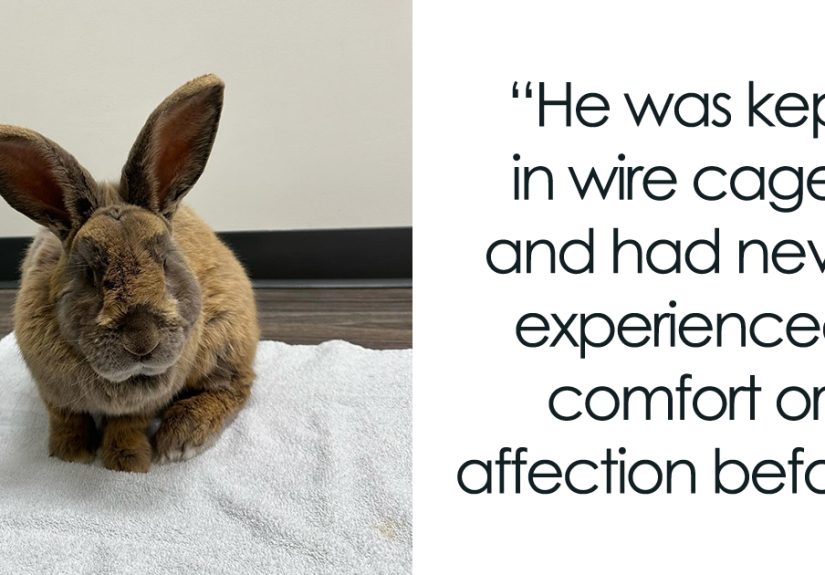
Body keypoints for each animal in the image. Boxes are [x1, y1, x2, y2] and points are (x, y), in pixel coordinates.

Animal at [0, 74, 259, 473]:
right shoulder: (52, 393)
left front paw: (126, 463)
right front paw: (70, 455)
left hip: (224, 337)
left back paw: (180, 439)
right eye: (91, 274)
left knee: (236, 385)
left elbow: (128, 424)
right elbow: (66, 418)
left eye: (166, 263)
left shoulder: (146, 402)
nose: (142, 340)